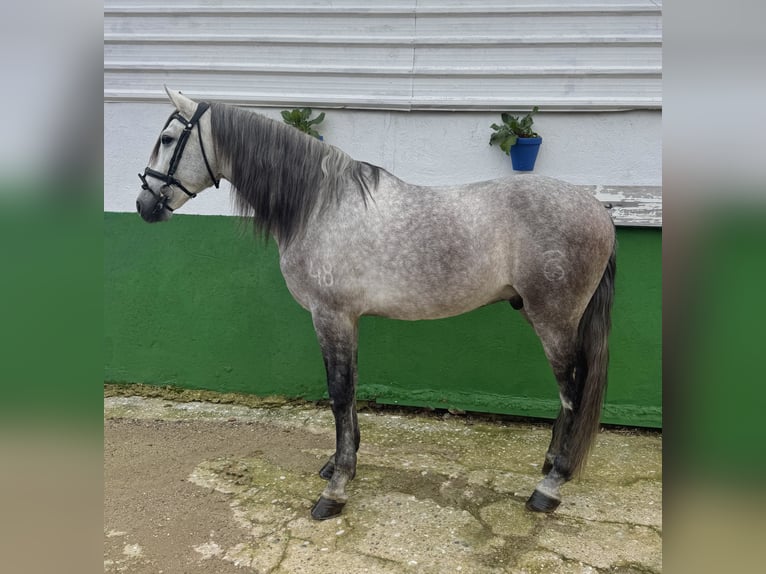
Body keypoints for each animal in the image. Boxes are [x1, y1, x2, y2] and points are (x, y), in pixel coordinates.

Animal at [136, 88, 616, 520]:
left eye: (167, 139)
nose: (143, 205)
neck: (320, 206)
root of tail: (598, 210)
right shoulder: (348, 319)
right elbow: (349, 390)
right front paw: (339, 463)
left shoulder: (330, 316)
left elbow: (338, 393)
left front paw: (335, 490)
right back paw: (552, 467)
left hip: (553, 319)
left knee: (572, 391)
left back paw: (549, 487)